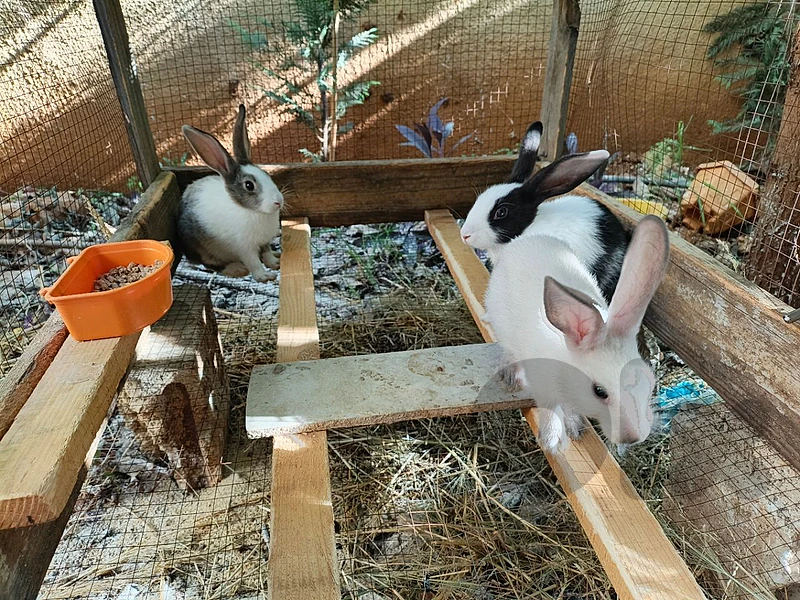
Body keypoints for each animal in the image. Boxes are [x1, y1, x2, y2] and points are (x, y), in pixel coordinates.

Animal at [177, 104, 284, 282]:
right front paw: (264, 276)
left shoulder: (264, 242)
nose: (279, 201)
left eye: (267, 175)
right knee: (211, 265)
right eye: (249, 185)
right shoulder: (245, 248)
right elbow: (254, 262)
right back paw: (236, 269)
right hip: (204, 249)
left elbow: (267, 253)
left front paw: (275, 263)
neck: (252, 211)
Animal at [483, 214, 670, 455]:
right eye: (599, 391)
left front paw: (575, 427)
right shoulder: (543, 385)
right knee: (509, 350)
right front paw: (552, 441)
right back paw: (511, 376)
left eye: (649, 379)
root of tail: (523, 240)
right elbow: (550, 407)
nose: (633, 438)